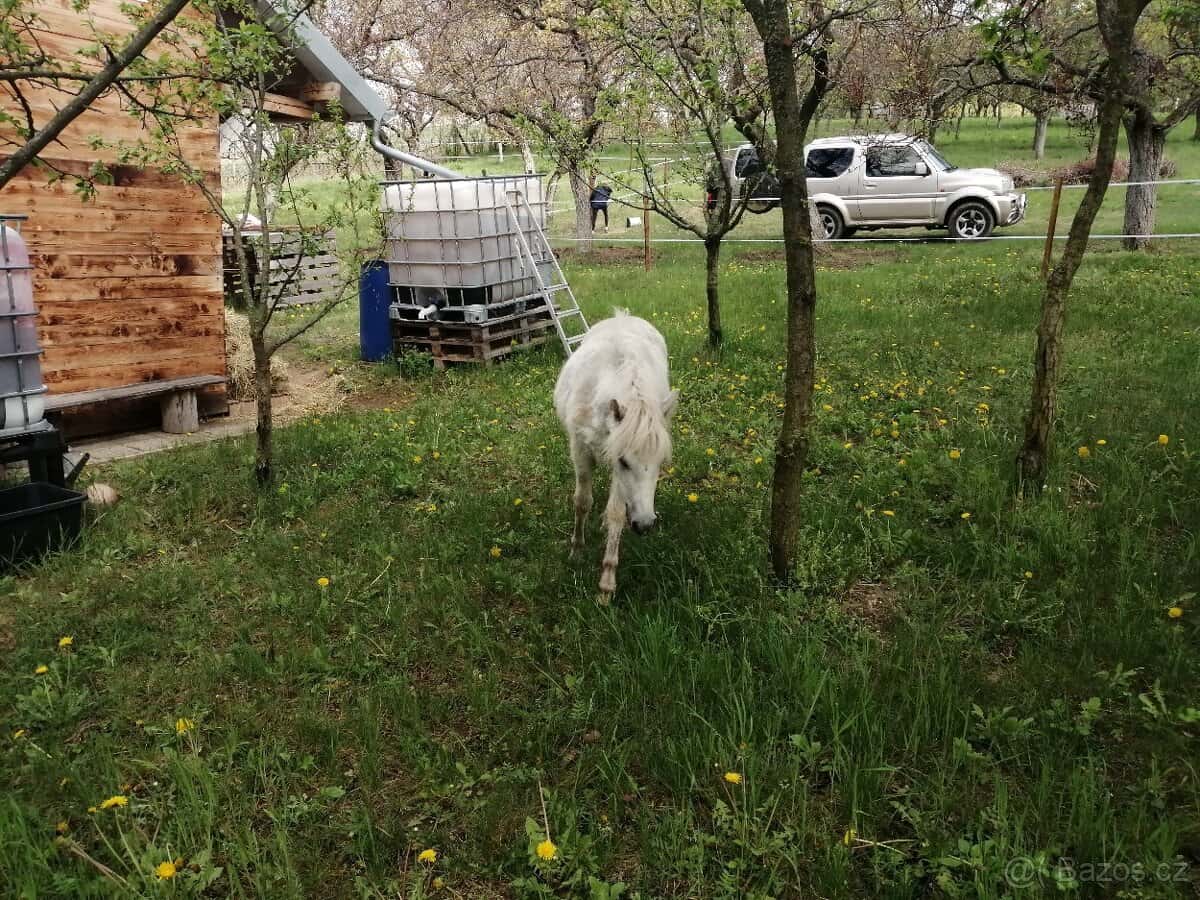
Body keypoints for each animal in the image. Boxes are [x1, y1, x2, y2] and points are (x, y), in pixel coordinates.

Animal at [554, 311, 678, 596]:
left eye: (660, 464)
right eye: (625, 461)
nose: (645, 524)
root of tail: (624, 315)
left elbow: (616, 513)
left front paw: (607, 582)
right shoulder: (581, 451)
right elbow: (582, 501)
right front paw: (577, 551)